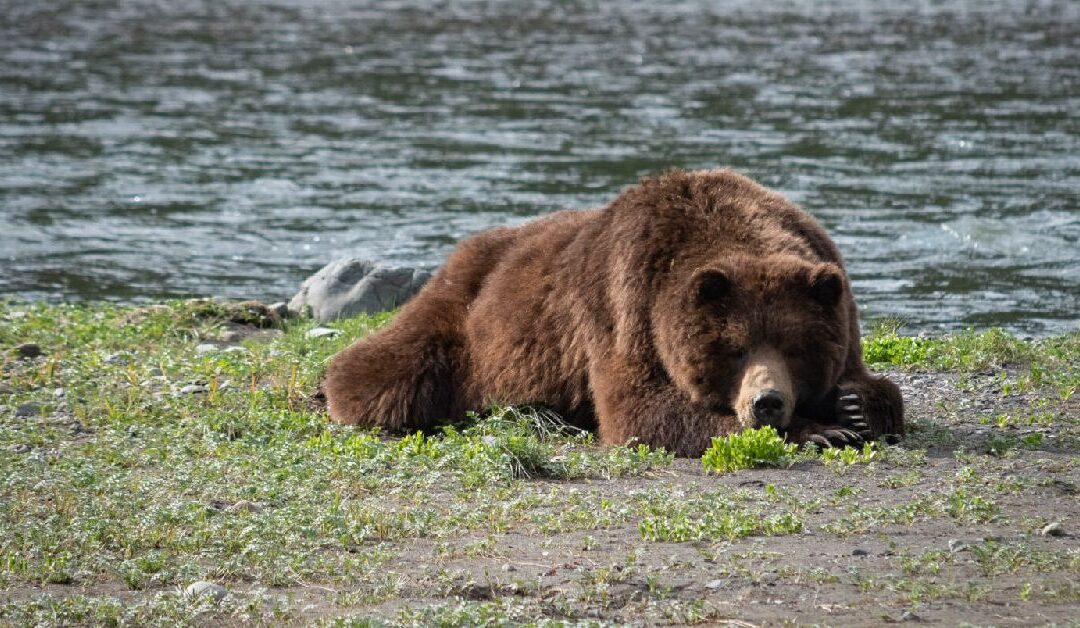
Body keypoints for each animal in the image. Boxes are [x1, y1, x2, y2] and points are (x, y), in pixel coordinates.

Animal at [323, 168, 904, 457]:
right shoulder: (626, 307)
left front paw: (853, 407)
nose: (767, 402)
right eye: (734, 348)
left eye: (794, 347)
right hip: (462, 312)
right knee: (391, 369)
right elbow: (641, 412)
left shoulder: (835, 288)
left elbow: (870, 383)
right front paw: (818, 430)